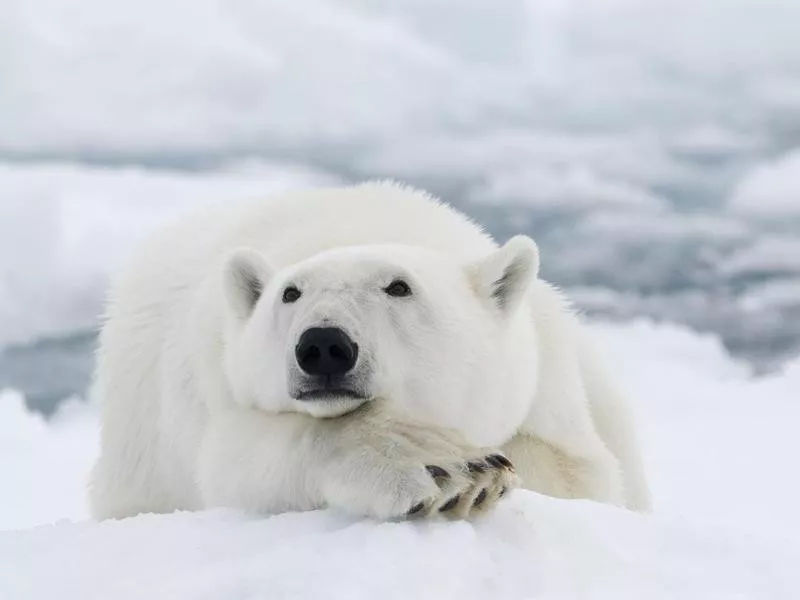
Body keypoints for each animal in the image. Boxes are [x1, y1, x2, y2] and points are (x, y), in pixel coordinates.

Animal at [89, 182, 648, 520]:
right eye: (290, 292)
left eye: (399, 287)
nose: (323, 345)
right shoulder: (215, 384)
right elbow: (238, 459)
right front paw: (449, 469)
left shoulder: (546, 383)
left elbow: (577, 472)